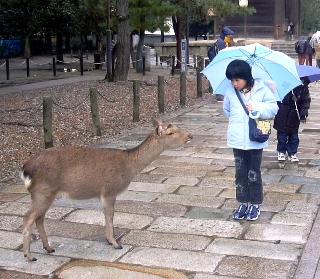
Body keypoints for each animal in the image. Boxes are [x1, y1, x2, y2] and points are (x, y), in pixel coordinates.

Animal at [20, 120, 192, 262]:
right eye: (171, 133)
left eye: (178, 127)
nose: (190, 135)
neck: (130, 166)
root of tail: (25, 169)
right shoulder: (109, 190)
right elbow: (110, 215)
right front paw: (116, 244)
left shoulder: (104, 194)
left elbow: (105, 215)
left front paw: (109, 241)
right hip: (43, 192)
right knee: (28, 217)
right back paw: (29, 255)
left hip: (45, 194)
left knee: (39, 218)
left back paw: (48, 247)